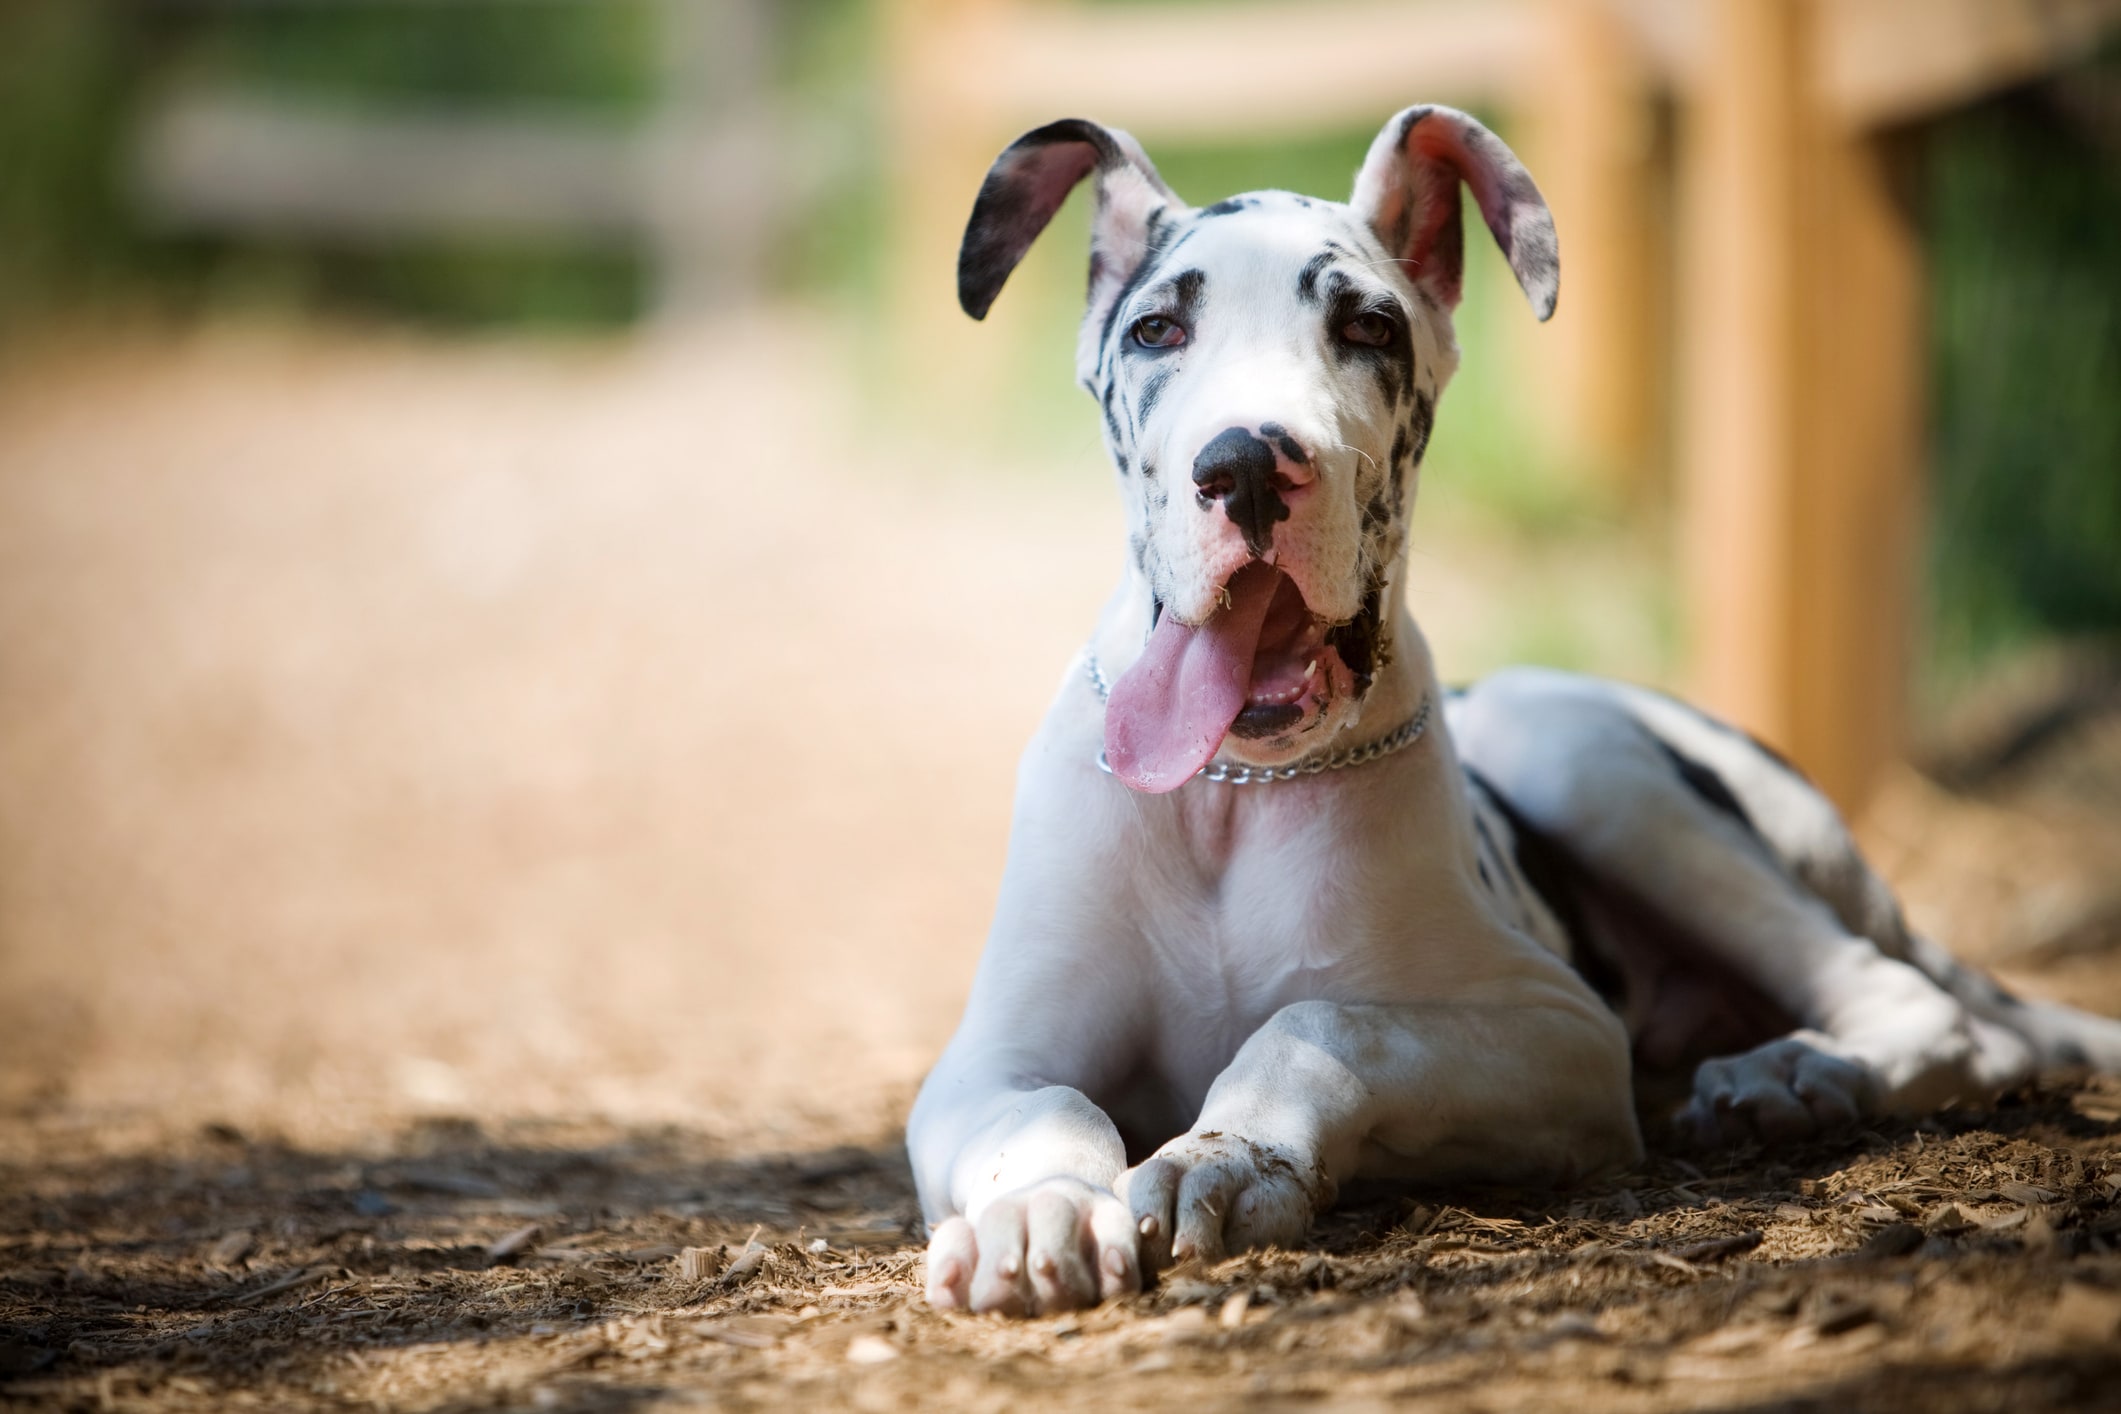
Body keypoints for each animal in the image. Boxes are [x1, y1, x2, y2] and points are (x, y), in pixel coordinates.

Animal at [903, 108, 2121, 1314]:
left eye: (1368, 327)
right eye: (1156, 329)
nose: (1246, 465)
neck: (1233, 791)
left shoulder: (1559, 1033)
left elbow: (1324, 1022)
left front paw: (1228, 1154)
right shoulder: (984, 1062)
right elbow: (1042, 1109)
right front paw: (1040, 1206)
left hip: (1582, 758)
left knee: (1920, 1004)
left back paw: (1799, 1066)